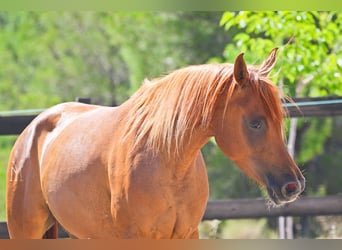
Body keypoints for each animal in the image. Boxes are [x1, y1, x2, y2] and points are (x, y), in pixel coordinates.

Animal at [5, 48, 304, 238]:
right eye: (255, 123)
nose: (294, 185)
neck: (167, 162)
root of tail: (31, 130)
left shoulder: (186, 235)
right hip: (25, 232)